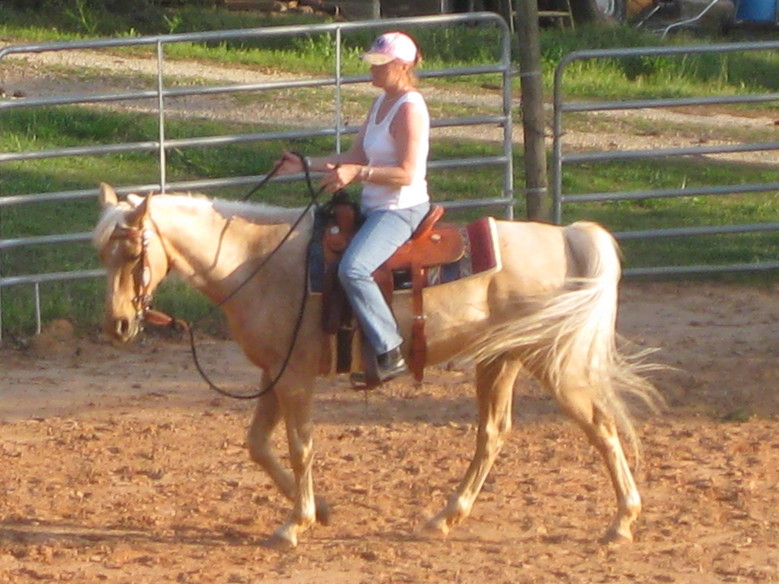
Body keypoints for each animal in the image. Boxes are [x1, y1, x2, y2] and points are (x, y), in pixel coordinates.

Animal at [93, 182, 662, 548]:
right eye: (103, 254)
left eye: (133, 253)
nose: (118, 325)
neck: (256, 260)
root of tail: (565, 235)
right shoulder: (272, 373)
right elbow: (257, 445)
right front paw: (320, 511)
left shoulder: (295, 378)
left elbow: (300, 447)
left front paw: (295, 524)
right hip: (499, 361)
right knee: (493, 434)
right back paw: (445, 519)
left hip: (552, 362)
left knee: (600, 426)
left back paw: (621, 523)